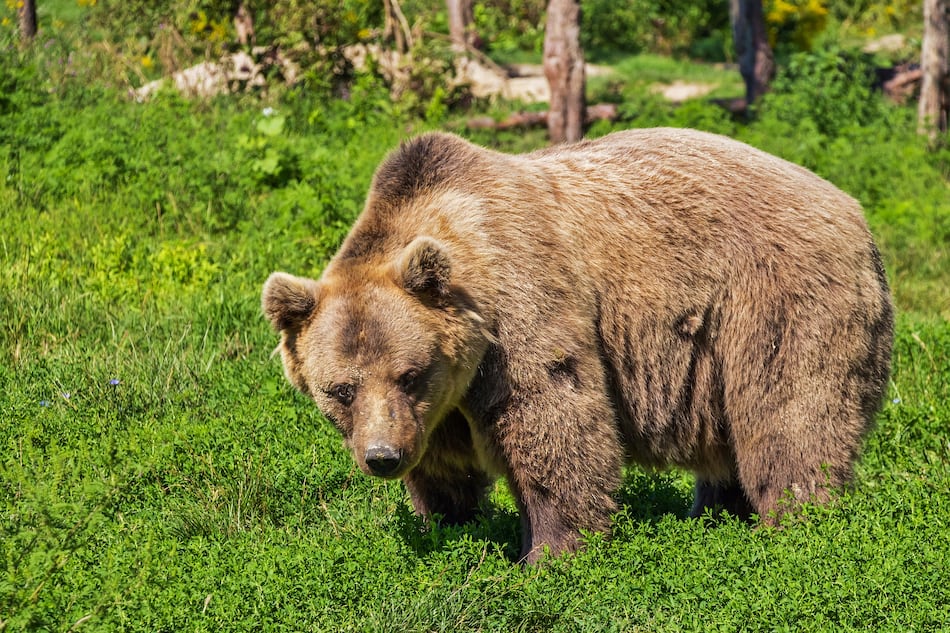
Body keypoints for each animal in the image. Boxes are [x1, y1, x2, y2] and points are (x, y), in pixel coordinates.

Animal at [262, 128, 894, 563]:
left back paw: (796, 523)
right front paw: (449, 523)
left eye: (409, 373)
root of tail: (855, 211)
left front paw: (550, 553)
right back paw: (714, 514)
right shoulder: (439, 404)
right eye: (340, 389)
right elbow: (444, 466)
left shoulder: (519, 310)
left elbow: (554, 420)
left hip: (775, 300)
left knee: (790, 416)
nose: (382, 457)